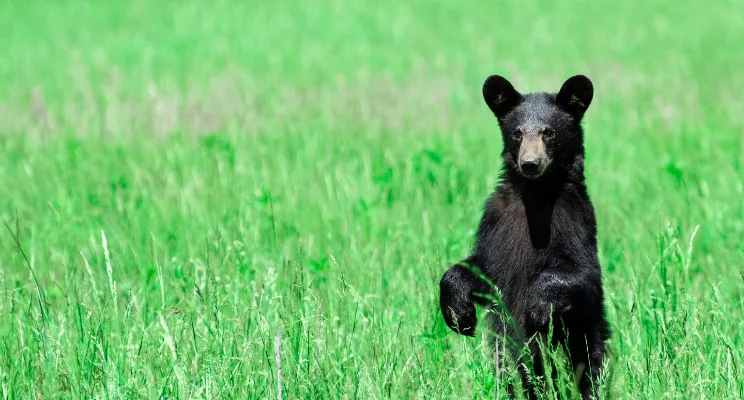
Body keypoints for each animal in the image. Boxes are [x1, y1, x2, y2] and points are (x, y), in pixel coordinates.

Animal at [439, 74, 611, 399]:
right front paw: (459, 313)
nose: (530, 163)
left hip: (587, 343)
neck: (535, 195)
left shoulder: (575, 220)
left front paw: (538, 307)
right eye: (517, 133)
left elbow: (583, 274)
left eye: (549, 132)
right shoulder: (495, 222)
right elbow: (479, 267)